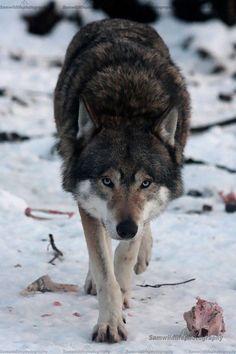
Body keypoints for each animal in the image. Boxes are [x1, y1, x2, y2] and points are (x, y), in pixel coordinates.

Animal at [53, 18, 190, 342]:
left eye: (145, 183)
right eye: (107, 181)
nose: (126, 228)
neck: (128, 107)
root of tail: (117, 20)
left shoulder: (138, 215)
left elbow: (126, 254)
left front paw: (127, 275)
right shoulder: (88, 203)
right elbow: (105, 272)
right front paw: (110, 323)